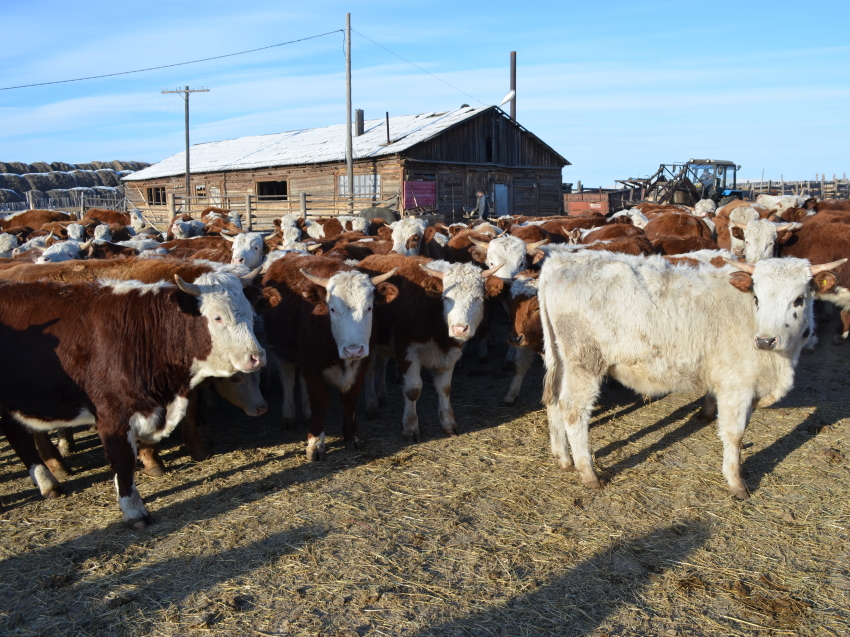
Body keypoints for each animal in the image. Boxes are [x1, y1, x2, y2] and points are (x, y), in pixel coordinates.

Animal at [536, 251, 840, 500]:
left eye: (799, 299)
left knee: (554, 403)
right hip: (584, 364)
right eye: (757, 297)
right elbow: (735, 434)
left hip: (560, 360)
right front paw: (736, 482)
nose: (765, 340)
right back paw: (589, 474)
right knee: (573, 411)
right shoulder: (736, 385)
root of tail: (561, 260)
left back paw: (563, 457)